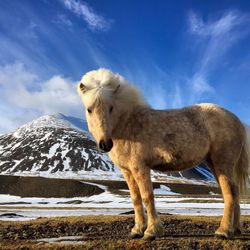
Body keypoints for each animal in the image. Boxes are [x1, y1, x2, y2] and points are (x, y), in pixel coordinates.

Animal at [77, 68, 249, 240]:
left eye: (111, 108)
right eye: (89, 109)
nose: (105, 144)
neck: (127, 123)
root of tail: (238, 121)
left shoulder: (140, 167)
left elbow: (147, 197)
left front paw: (151, 231)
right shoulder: (127, 170)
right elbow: (135, 198)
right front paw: (137, 230)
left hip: (222, 162)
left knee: (230, 192)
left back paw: (223, 231)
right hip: (214, 163)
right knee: (234, 192)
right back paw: (234, 229)